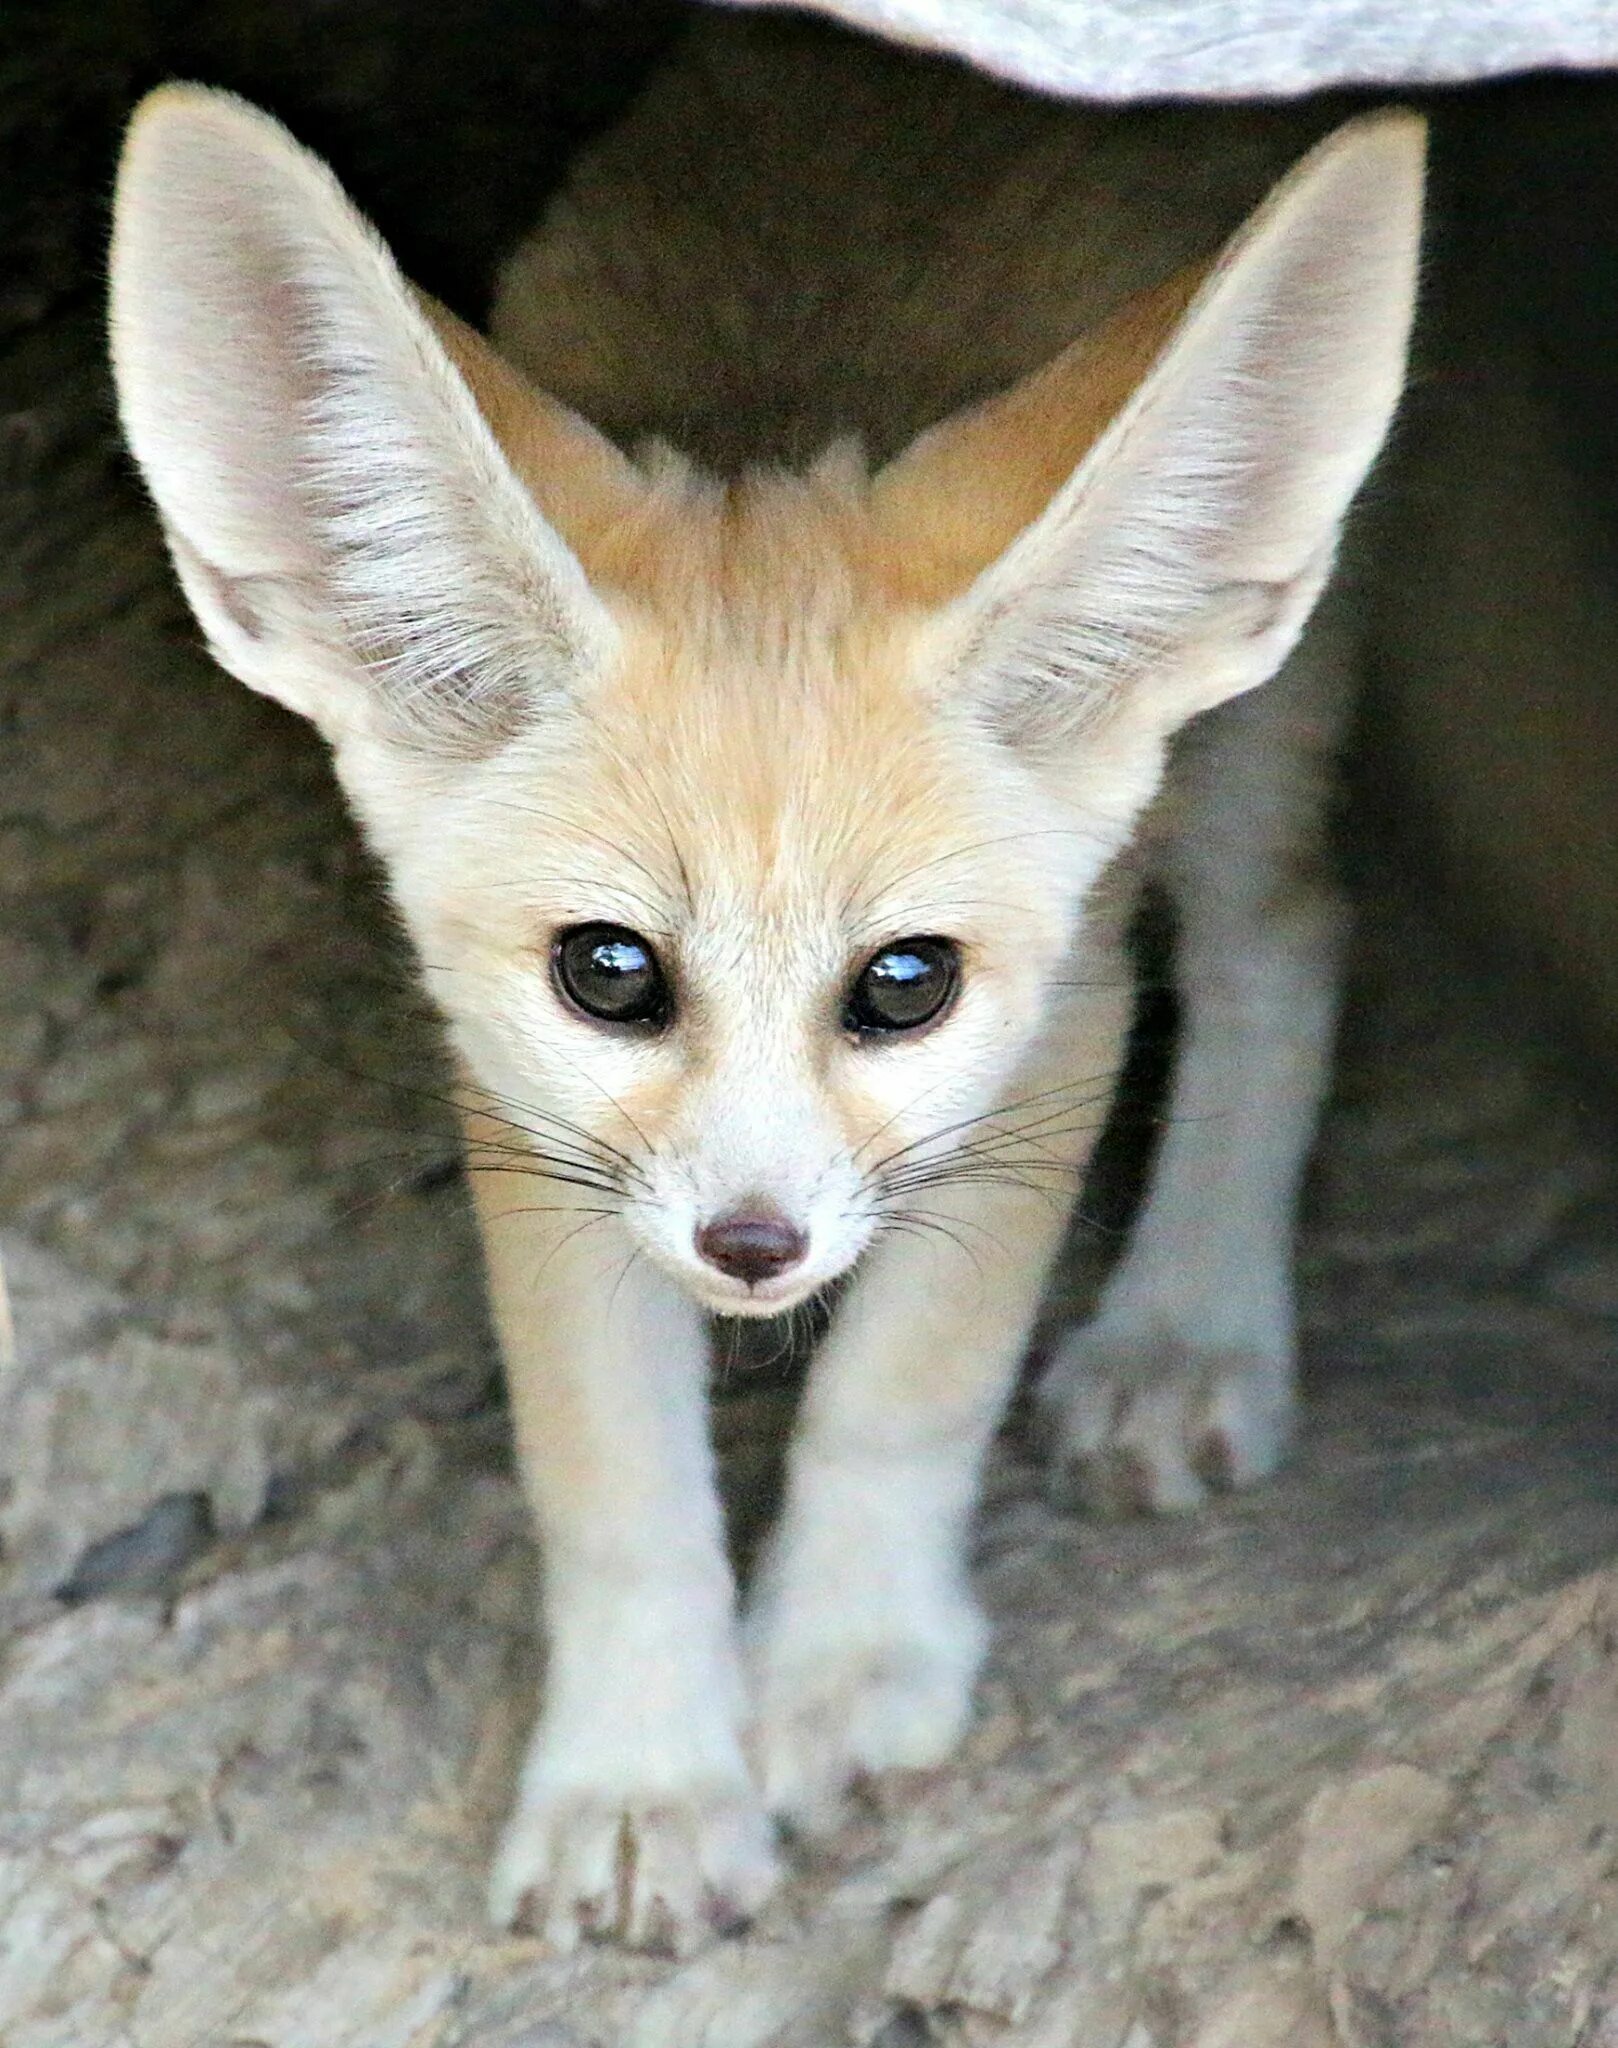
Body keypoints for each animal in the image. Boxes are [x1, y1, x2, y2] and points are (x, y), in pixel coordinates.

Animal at [107, 12, 1425, 1949]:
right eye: (610, 972)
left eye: (903, 983)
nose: (752, 1248)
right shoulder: (535, 1112)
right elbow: (611, 1482)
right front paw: (644, 1775)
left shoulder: (1057, 1022)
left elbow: (903, 1387)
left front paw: (847, 1664)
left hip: (1245, 732)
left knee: (1290, 939)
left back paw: (1189, 1328)